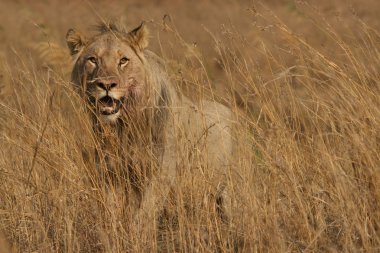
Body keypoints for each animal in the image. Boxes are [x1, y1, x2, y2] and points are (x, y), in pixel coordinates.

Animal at [65, 21, 232, 223]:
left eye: (123, 60)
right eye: (93, 60)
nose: (106, 84)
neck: (125, 125)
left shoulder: (161, 172)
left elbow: (144, 214)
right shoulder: (108, 171)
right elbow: (109, 210)